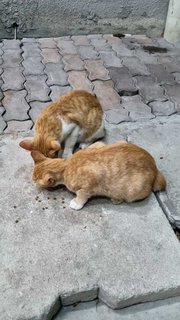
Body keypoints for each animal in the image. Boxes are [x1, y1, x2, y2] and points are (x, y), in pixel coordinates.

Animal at [30, 141, 166, 211]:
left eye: (35, 181)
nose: (33, 183)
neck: (66, 165)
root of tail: (154, 167)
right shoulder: (98, 144)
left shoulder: (90, 181)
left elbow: (82, 195)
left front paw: (77, 203)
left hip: (133, 190)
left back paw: (117, 199)